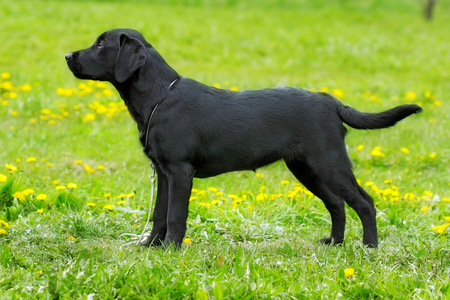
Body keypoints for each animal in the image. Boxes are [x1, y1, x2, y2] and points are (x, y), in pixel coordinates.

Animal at [66, 28, 422, 248]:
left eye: (101, 44)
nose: (68, 56)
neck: (159, 96)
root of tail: (331, 101)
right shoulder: (163, 171)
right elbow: (159, 215)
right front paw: (152, 246)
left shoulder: (180, 171)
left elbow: (175, 215)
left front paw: (170, 249)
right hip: (306, 168)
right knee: (336, 203)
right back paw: (334, 242)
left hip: (329, 163)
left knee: (364, 202)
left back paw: (369, 247)